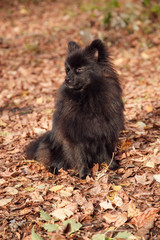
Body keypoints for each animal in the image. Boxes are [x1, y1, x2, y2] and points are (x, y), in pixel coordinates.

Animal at [26, 39, 124, 178]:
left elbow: (107, 152)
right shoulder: (74, 135)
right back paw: (55, 170)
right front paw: (84, 174)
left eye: (79, 69)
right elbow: (79, 156)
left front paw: (113, 166)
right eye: (68, 70)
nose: (66, 79)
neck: (87, 97)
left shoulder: (104, 131)